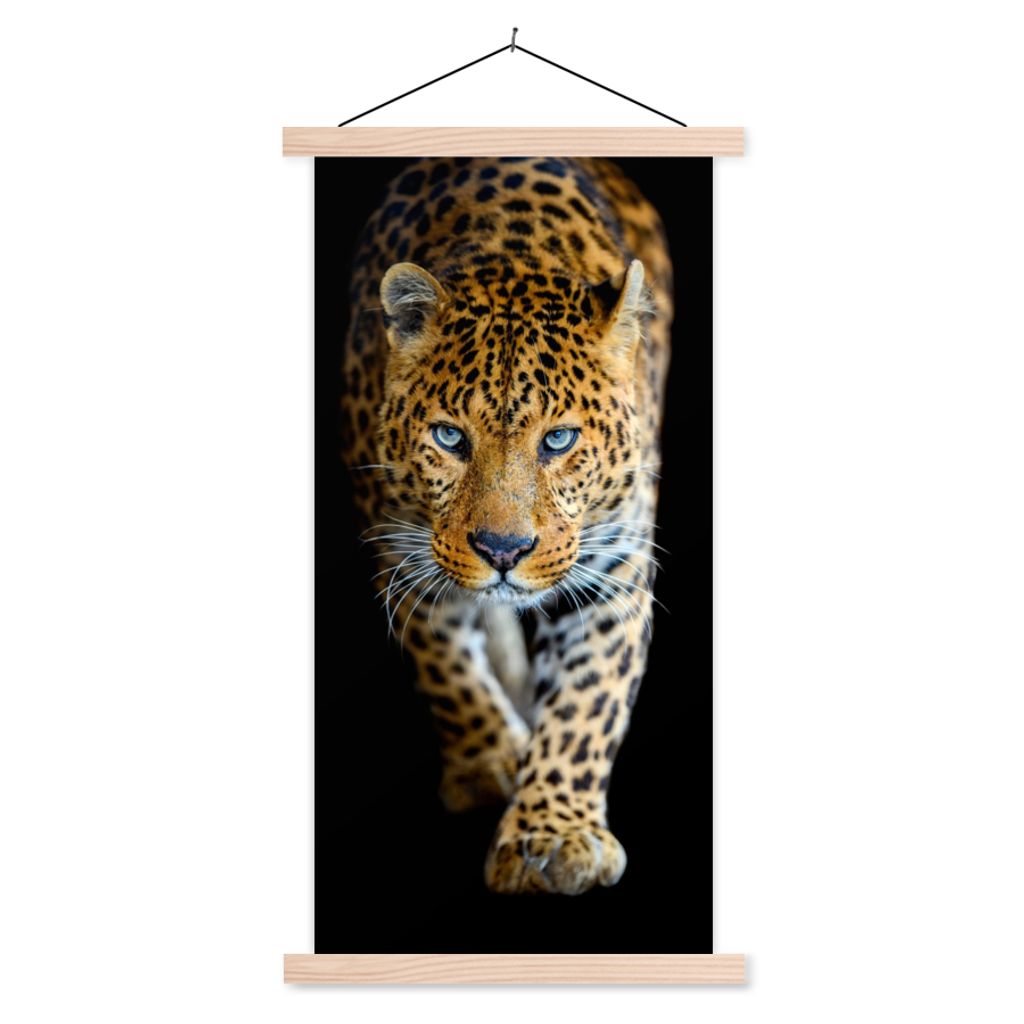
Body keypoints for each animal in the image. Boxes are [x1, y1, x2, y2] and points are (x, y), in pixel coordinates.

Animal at [339, 156, 673, 895]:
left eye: (559, 440)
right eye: (449, 437)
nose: (502, 550)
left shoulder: (614, 574)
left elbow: (586, 706)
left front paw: (554, 834)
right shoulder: (401, 551)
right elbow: (445, 667)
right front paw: (489, 761)